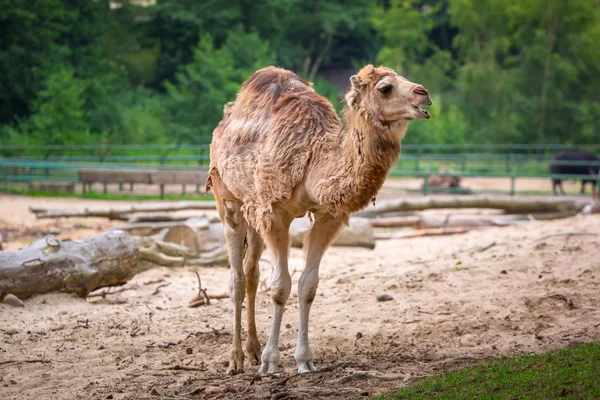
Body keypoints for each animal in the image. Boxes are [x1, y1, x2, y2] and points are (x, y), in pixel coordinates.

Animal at [206, 65, 432, 376]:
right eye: (385, 88)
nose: (424, 94)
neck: (313, 160)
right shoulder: (275, 212)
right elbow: (281, 287)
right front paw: (270, 361)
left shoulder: (328, 215)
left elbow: (308, 286)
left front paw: (305, 360)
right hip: (228, 200)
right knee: (236, 279)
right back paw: (236, 360)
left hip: (253, 209)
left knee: (252, 273)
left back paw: (251, 352)